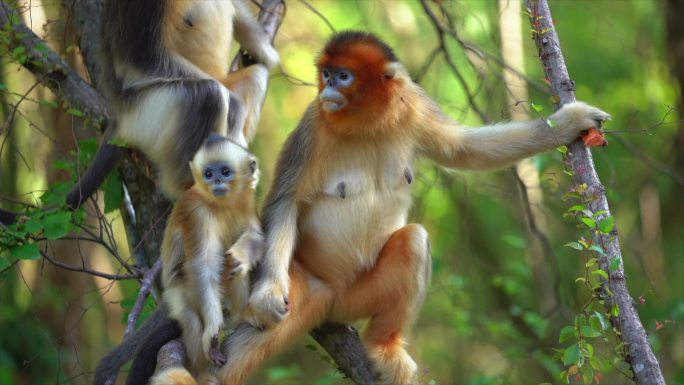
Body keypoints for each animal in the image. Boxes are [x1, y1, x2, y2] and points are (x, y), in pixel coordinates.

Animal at [160, 134, 264, 374]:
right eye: (208, 174)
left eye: (225, 172)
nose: (216, 181)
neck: (222, 204)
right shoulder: (196, 214)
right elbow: (203, 265)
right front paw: (212, 333)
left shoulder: (247, 201)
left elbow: (256, 236)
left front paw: (243, 256)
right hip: (179, 294)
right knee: (191, 319)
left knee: (234, 271)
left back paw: (238, 318)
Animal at [207, 30, 608, 384]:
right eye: (326, 74)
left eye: (343, 75)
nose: (330, 88)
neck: (364, 123)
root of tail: (331, 294)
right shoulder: (312, 126)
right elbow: (285, 202)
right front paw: (266, 294)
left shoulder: (412, 106)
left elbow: (464, 150)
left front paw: (567, 124)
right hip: (303, 280)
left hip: (356, 297)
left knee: (414, 240)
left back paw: (383, 345)